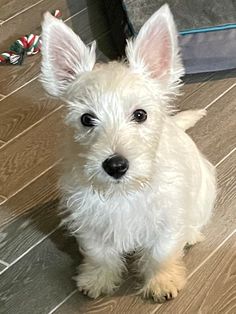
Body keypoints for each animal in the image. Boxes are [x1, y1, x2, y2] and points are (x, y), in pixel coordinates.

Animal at [40, 4, 216, 302]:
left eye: (140, 114)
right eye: (87, 119)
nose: (115, 165)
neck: (123, 193)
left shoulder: (167, 219)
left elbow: (161, 252)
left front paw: (162, 281)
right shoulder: (88, 219)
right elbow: (98, 254)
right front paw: (97, 279)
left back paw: (191, 233)